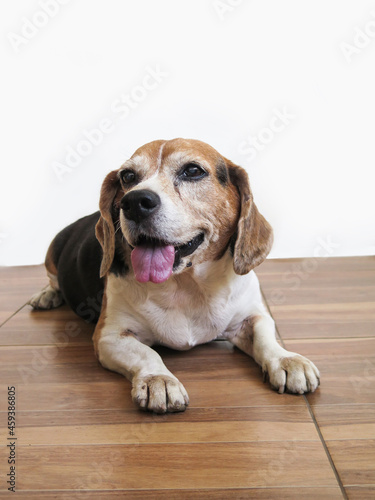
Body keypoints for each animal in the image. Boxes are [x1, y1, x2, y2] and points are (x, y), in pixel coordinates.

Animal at [30, 138, 322, 414]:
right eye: (127, 176)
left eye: (192, 171)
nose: (133, 202)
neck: (185, 285)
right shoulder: (109, 336)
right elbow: (147, 353)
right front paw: (159, 380)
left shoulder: (252, 317)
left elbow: (265, 336)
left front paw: (286, 359)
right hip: (51, 255)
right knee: (52, 280)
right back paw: (46, 296)